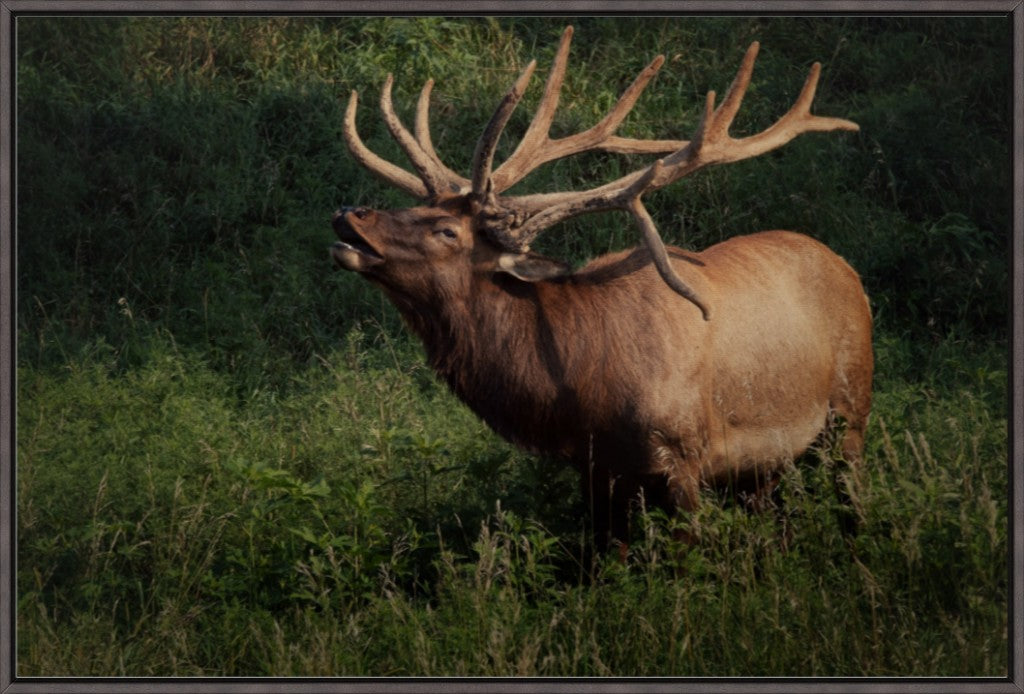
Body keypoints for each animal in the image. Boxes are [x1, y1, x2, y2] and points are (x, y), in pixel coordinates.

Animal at [331, 28, 876, 552]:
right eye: (420, 207)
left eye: (447, 230)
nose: (349, 214)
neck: (579, 386)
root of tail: (846, 267)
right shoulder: (597, 469)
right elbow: (606, 560)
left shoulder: (684, 454)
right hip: (764, 465)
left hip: (850, 409)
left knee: (851, 503)